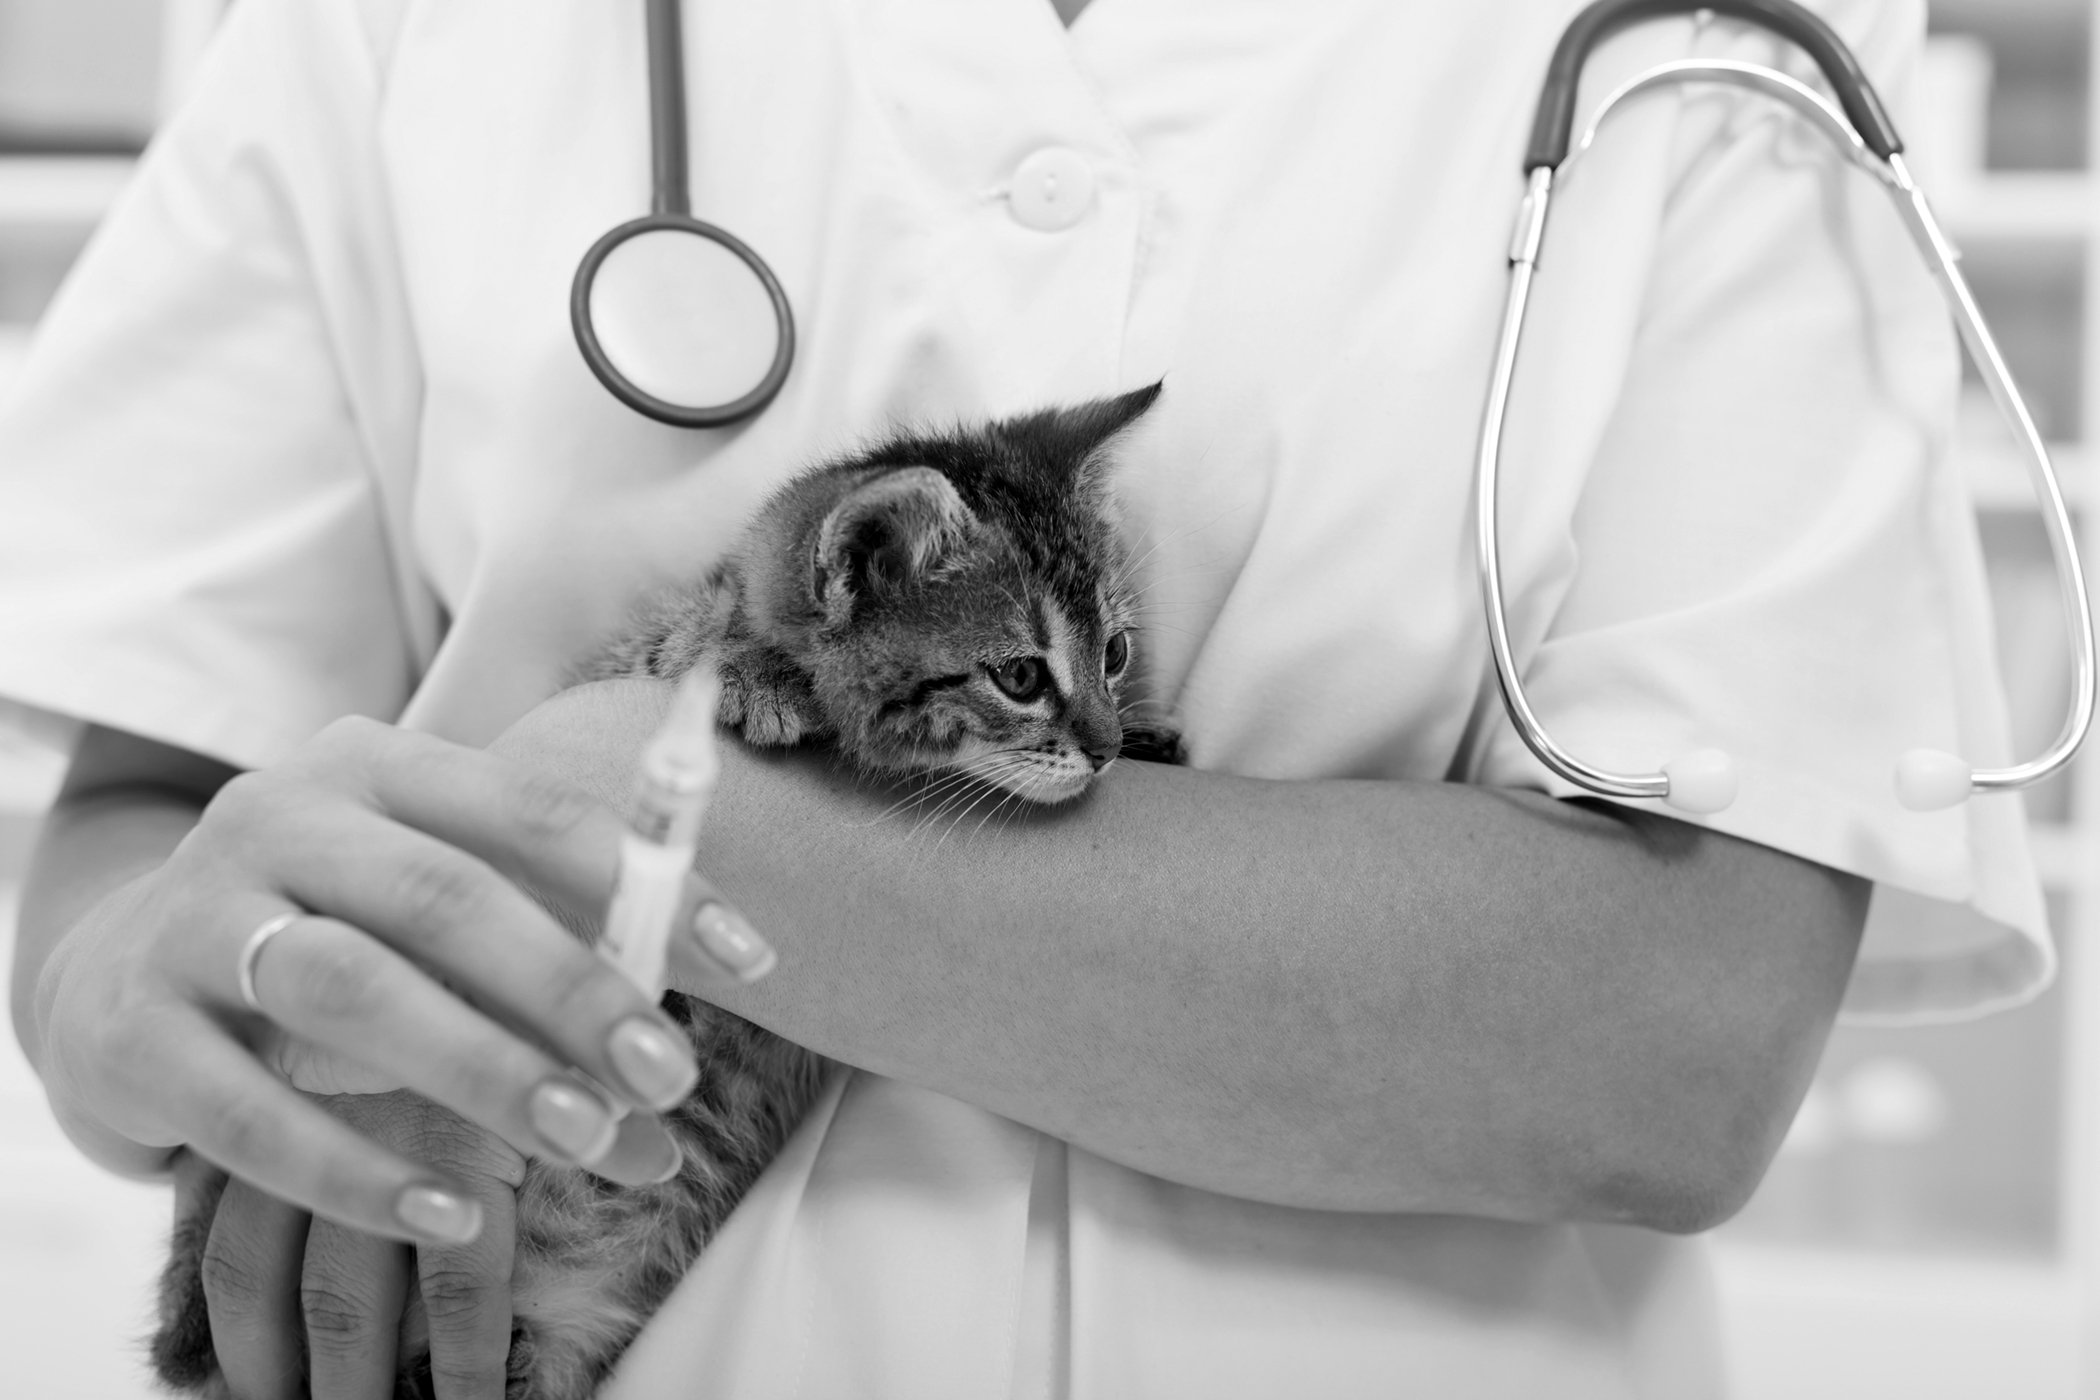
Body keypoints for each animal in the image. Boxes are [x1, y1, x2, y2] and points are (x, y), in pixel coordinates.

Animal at [152, 384, 1184, 1400]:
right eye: (1021, 675)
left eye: (1117, 653)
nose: (1102, 747)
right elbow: (689, 656)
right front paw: (753, 675)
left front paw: (1152, 738)